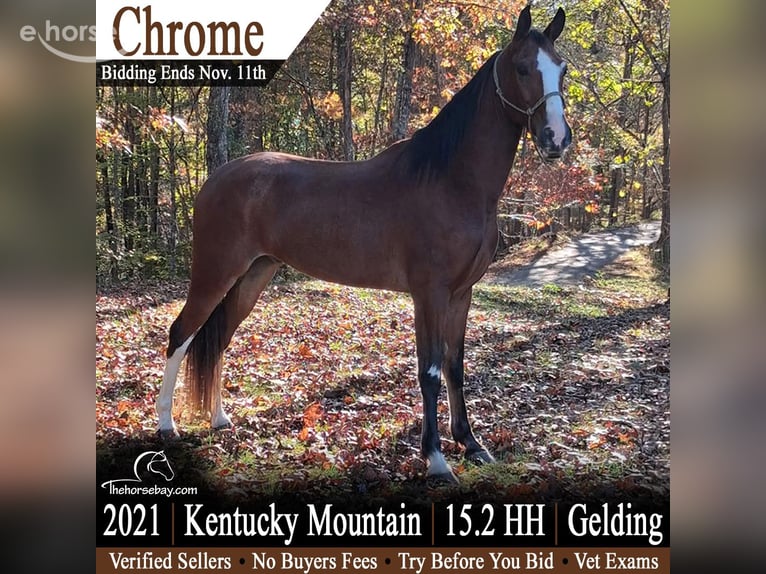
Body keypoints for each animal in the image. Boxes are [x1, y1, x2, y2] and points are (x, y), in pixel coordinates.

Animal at [157, 6, 571, 482]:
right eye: (522, 67)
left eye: (561, 68)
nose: (557, 139)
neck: (452, 181)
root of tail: (216, 178)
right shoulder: (429, 294)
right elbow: (430, 370)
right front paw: (436, 459)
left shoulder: (462, 294)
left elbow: (455, 366)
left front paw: (471, 444)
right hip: (215, 272)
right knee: (181, 333)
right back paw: (166, 426)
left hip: (253, 275)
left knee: (221, 337)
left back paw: (220, 419)